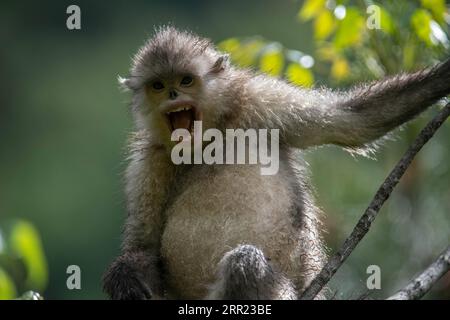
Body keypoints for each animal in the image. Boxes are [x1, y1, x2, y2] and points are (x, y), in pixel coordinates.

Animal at [102, 26, 450, 300]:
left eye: (186, 80)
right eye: (158, 86)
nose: (173, 94)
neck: (209, 138)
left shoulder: (258, 101)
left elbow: (352, 122)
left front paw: (443, 76)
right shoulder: (150, 159)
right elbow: (144, 242)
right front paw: (125, 277)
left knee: (244, 263)